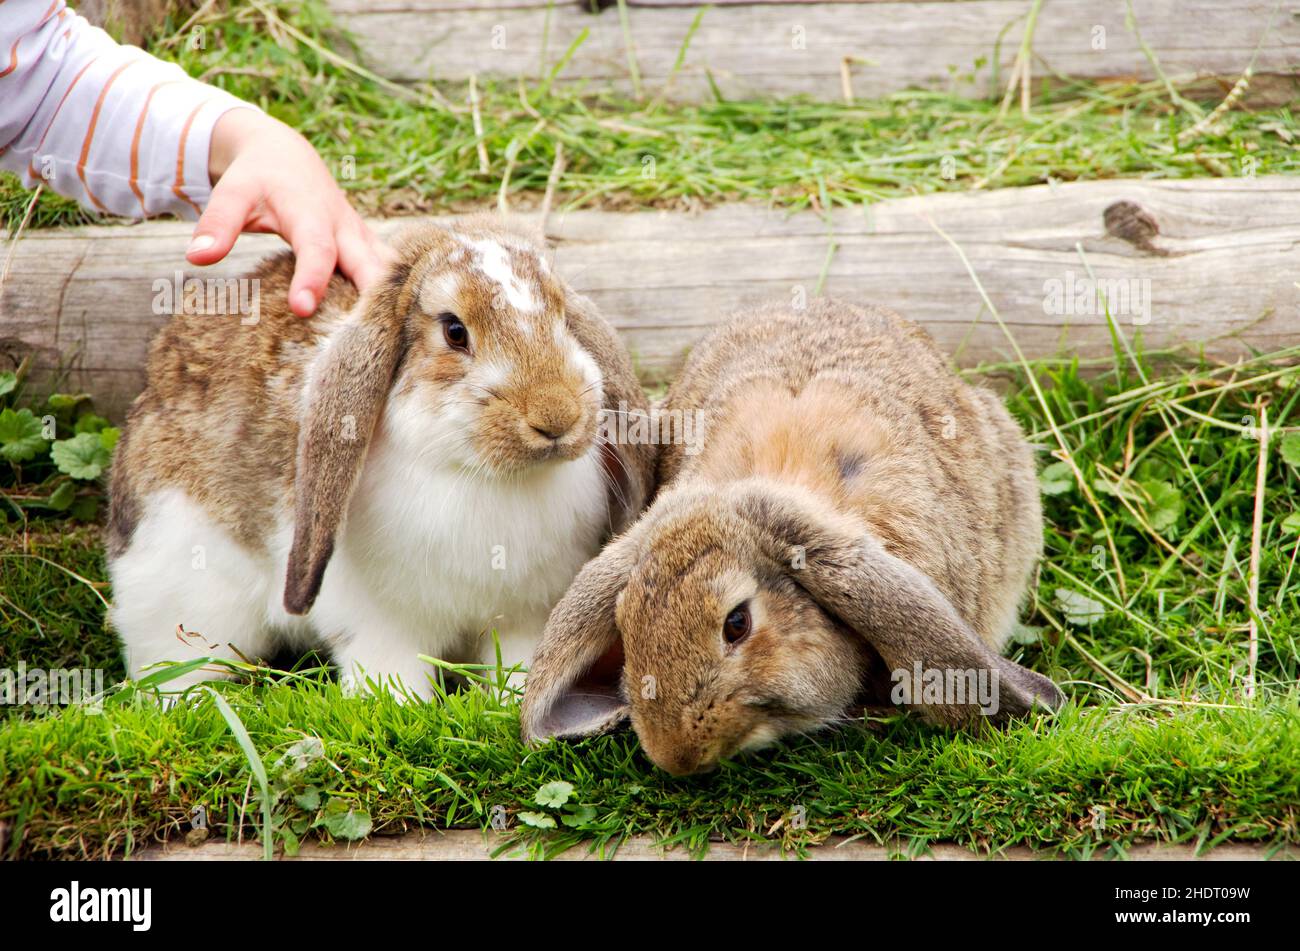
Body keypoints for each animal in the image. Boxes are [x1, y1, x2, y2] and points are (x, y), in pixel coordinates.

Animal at [106, 214, 655, 698]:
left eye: (563, 317)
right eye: (454, 331)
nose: (556, 417)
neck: (482, 475)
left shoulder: (524, 618)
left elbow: (518, 663)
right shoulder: (381, 626)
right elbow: (391, 671)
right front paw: (396, 703)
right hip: (183, 587)